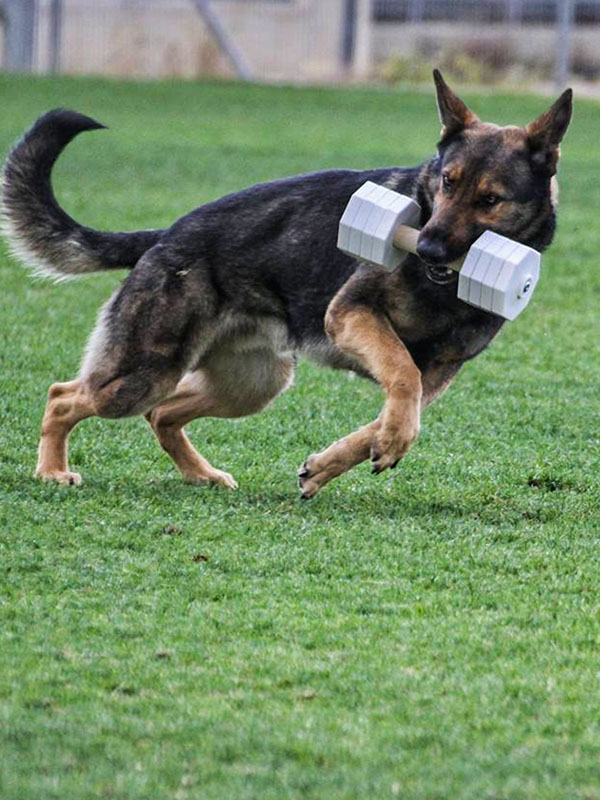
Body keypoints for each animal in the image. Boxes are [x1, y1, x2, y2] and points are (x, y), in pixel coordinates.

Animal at [1, 72, 572, 494]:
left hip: (251, 384)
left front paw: (332, 464)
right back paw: (52, 470)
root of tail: (167, 233)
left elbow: (393, 411)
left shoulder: (440, 373)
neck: (442, 288)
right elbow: (400, 378)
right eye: (447, 182)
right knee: (64, 395)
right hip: (145, 372)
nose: (427, 247)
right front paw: (386, 443)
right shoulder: (350, 315)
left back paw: (202, 475)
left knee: (162, 415)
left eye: (490, 199)